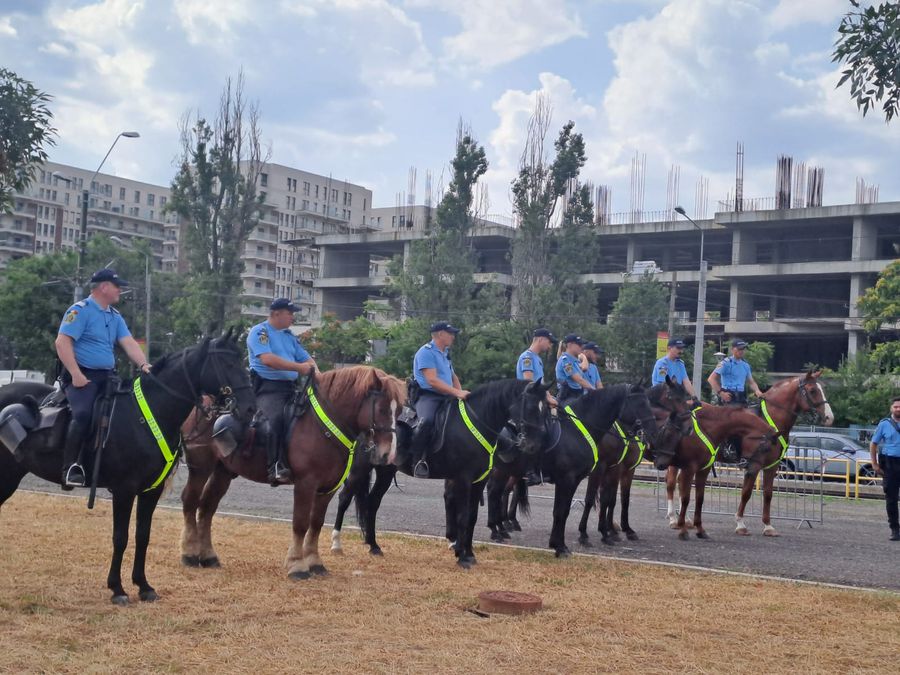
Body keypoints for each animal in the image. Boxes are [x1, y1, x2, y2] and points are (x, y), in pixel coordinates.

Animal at [0, 336, 253, 604]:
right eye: (227, 363)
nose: (250, 408)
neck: (148, 414)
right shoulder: (124, 490)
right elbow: (120, 538)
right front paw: (117, 589)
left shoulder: (150, 491)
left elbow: (143, 536)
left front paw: (143, 586)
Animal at [179, 368, 404, 580]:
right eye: (382, 409)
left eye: (400, 410)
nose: (389, 454)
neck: (323, 426)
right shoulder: (306, 484)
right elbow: (300, 524)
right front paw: (297, 565)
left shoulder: (328, 488)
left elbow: (316, 523)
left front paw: (315, 563)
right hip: (201, 467)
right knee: (190, 501)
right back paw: (189, 554)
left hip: (223, 471)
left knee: (207, 508)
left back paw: (209, 557)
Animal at [394, 378, 548, 568]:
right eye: (532, 407)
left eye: (545, 409)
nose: (534, 445)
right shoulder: (463, 480)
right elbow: (462, 516)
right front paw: (461, 556)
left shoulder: (478, 481)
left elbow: (471, 518)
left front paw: (468, 553)